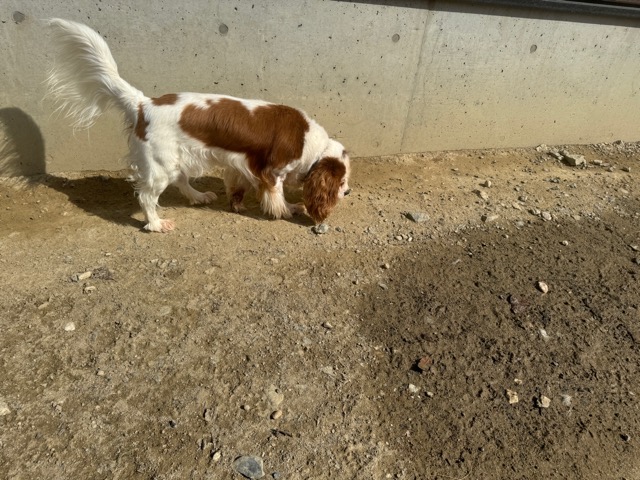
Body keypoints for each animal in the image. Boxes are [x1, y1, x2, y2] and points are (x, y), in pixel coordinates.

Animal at [46, 18, 351, 232]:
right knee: (146, 197)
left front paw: (238, 203)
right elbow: (276, 195)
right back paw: (156, 224)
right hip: (161, 166)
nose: (348, 192)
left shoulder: (240, 163)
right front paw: (286, 210)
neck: (312, 145)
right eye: (342, 181)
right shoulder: (271, 171)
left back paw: (198, 196)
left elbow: (238, 185)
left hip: (176, 159)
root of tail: (143, 104)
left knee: (181, 181)